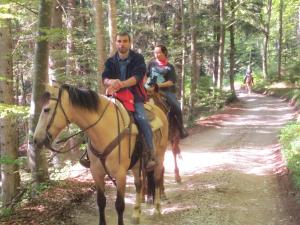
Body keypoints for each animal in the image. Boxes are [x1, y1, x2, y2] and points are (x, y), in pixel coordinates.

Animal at [33, 84, 169, 225]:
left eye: (46, 109)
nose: (36, 139)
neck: (104, 129)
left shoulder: (120, 174)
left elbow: (120, 205)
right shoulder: (96, 172)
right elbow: (101, 201)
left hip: (159, 157)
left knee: (157, 179)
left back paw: (157, 210)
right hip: (137, 164)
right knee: (139, 184)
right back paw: (136, 214)